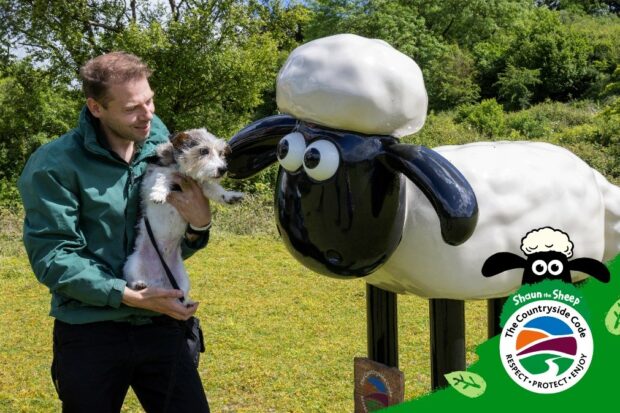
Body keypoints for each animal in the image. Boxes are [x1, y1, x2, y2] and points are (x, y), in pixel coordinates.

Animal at [123, 129, 242, 302]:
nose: (223, 169)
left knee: (182, 294)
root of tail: (159, 282)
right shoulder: (153, 175)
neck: (186, 173)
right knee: (132, 281)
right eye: (204, 151)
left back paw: (185, 303)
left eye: (221, 153)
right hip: (133, 263)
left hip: (182, 279)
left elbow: (214, 190)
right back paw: (139, 284)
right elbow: (162, 176)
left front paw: (230, 196)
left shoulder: (202, 185)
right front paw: (159, 193)